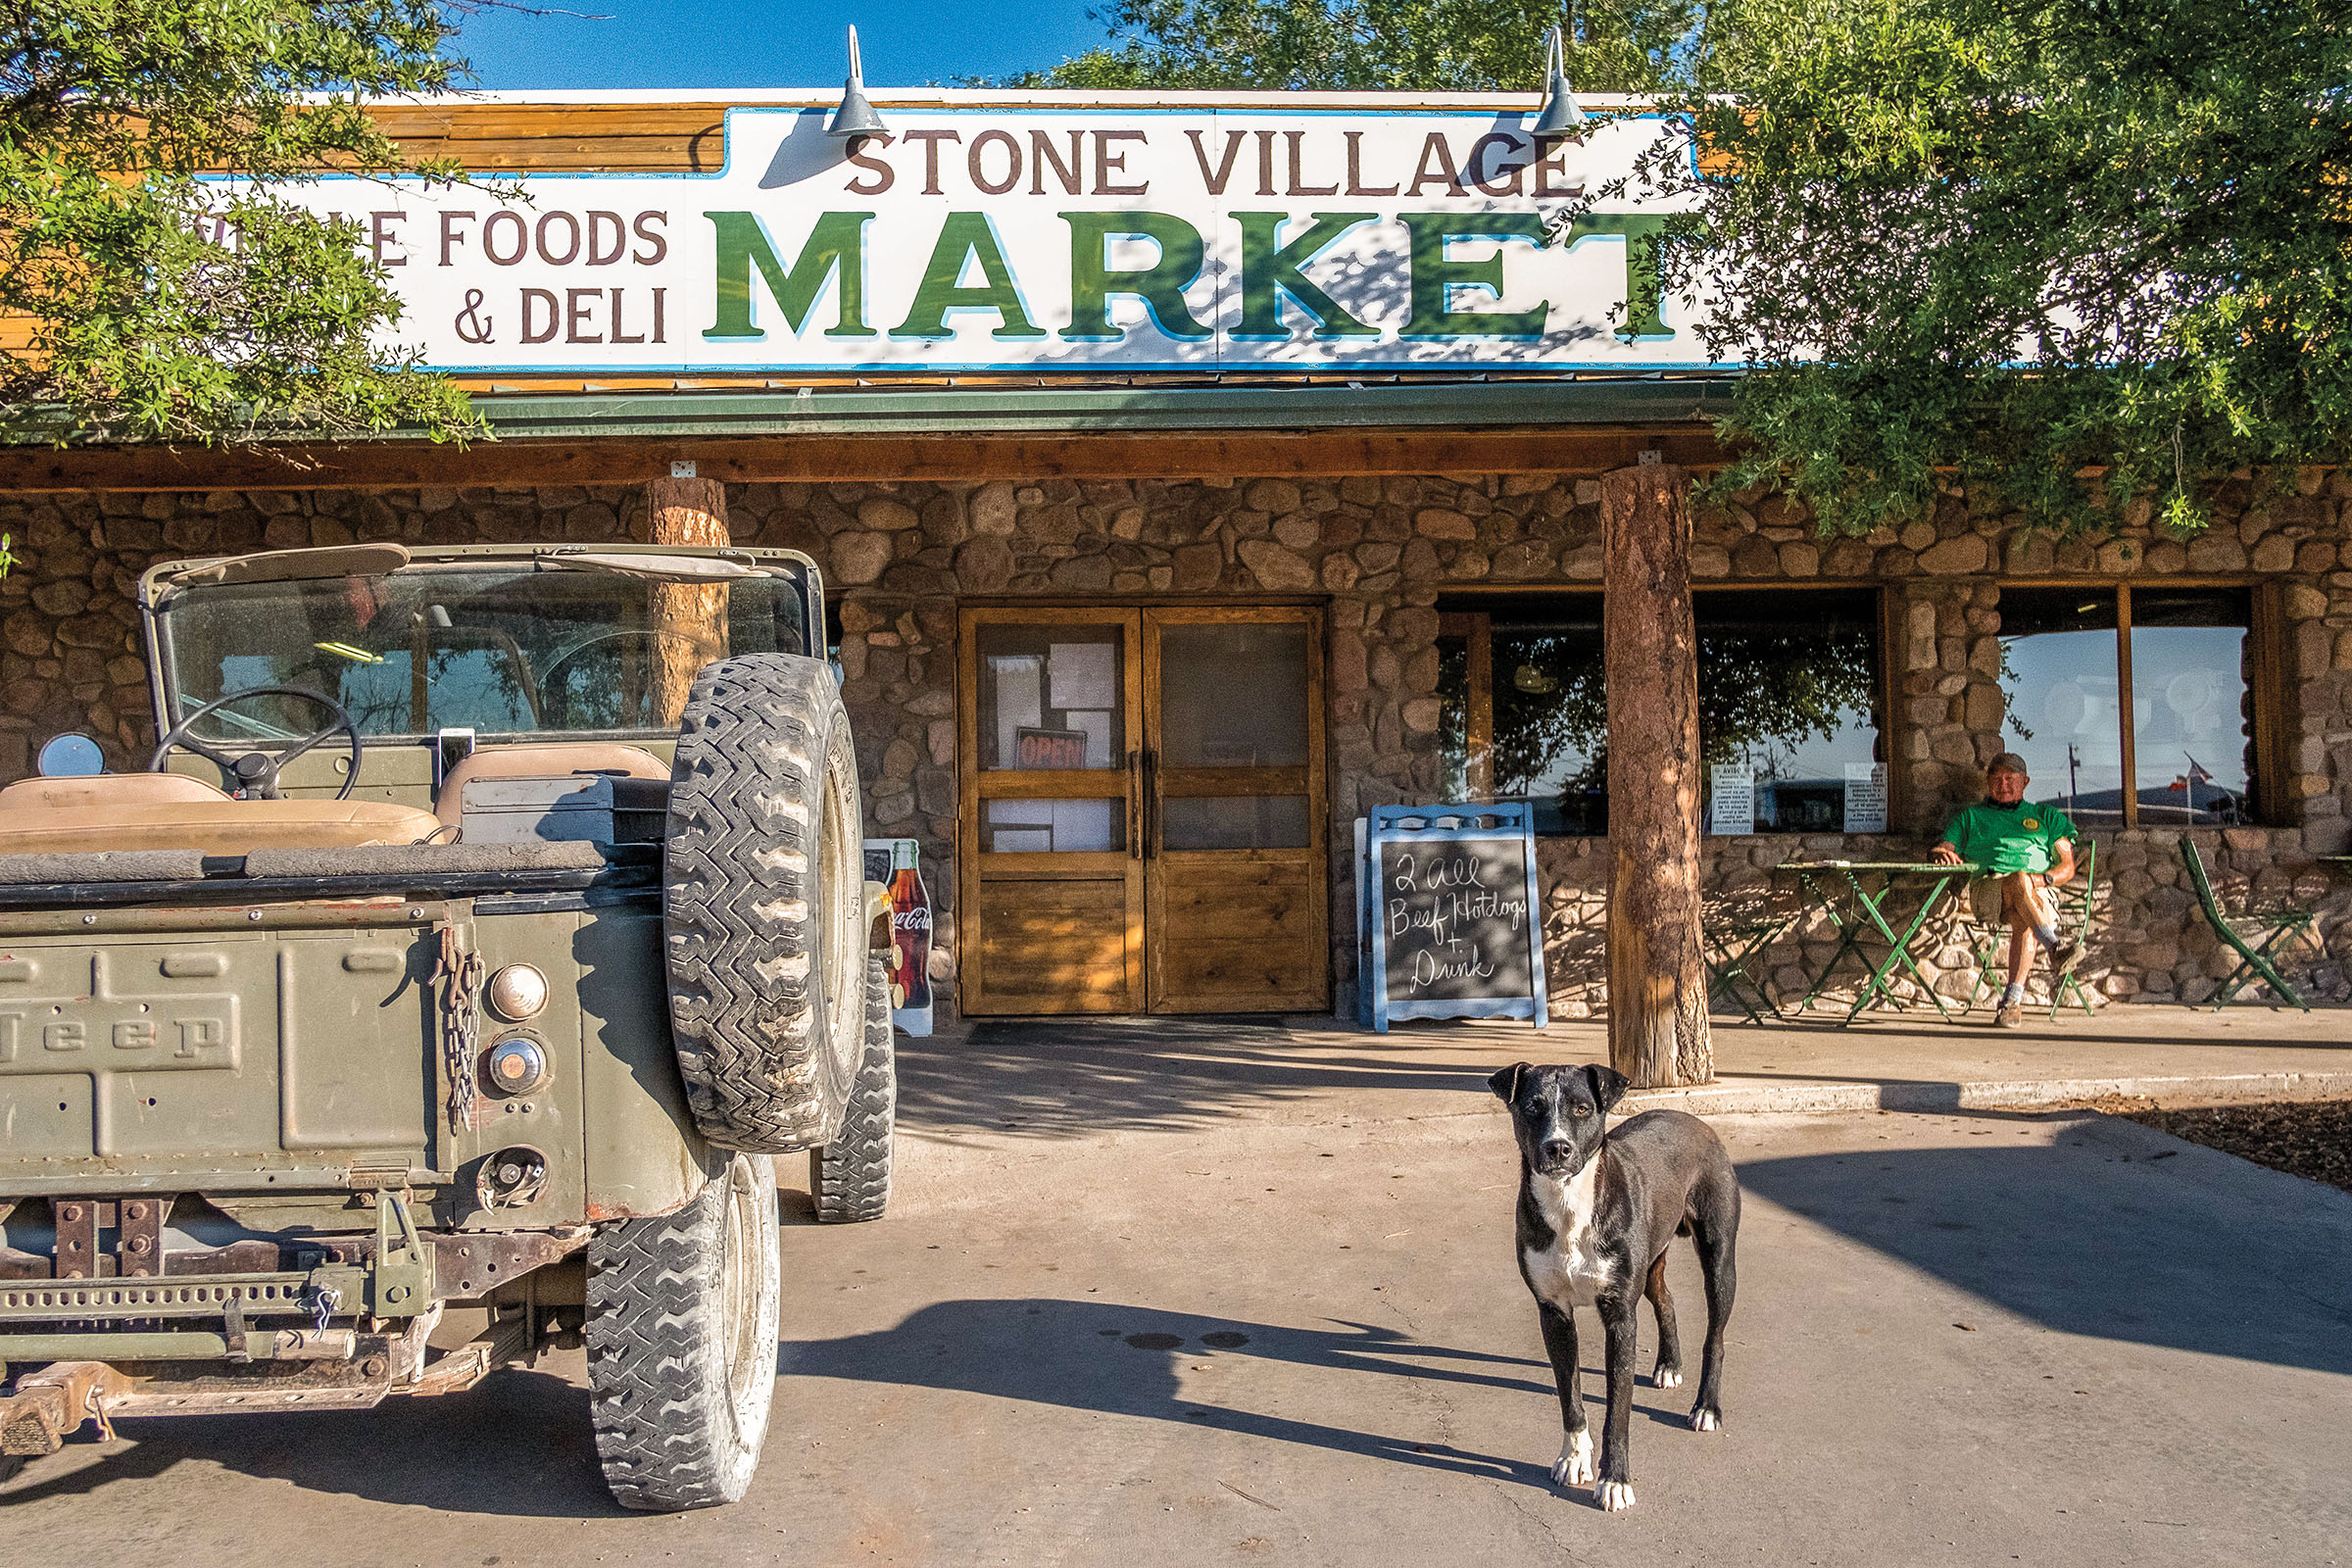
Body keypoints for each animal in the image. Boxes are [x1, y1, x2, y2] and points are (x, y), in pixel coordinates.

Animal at [1495, 1062, 1740, 1513]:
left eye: (1582, 1108)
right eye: (1533, 1107)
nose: (1558, 1148)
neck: (1570, 1204)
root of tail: (1694, 1121)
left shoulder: (1620, 1318)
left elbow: (1618, 1410)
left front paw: (1615, 1480)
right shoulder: (1554, 1315)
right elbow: (1570, 1397)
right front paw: (1574, 1458)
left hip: (1719, 1258)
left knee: (1715, 1337)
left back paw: (1706, 1407)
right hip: (1651, 1262)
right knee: (1666, 1300)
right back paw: (1668, 1365)